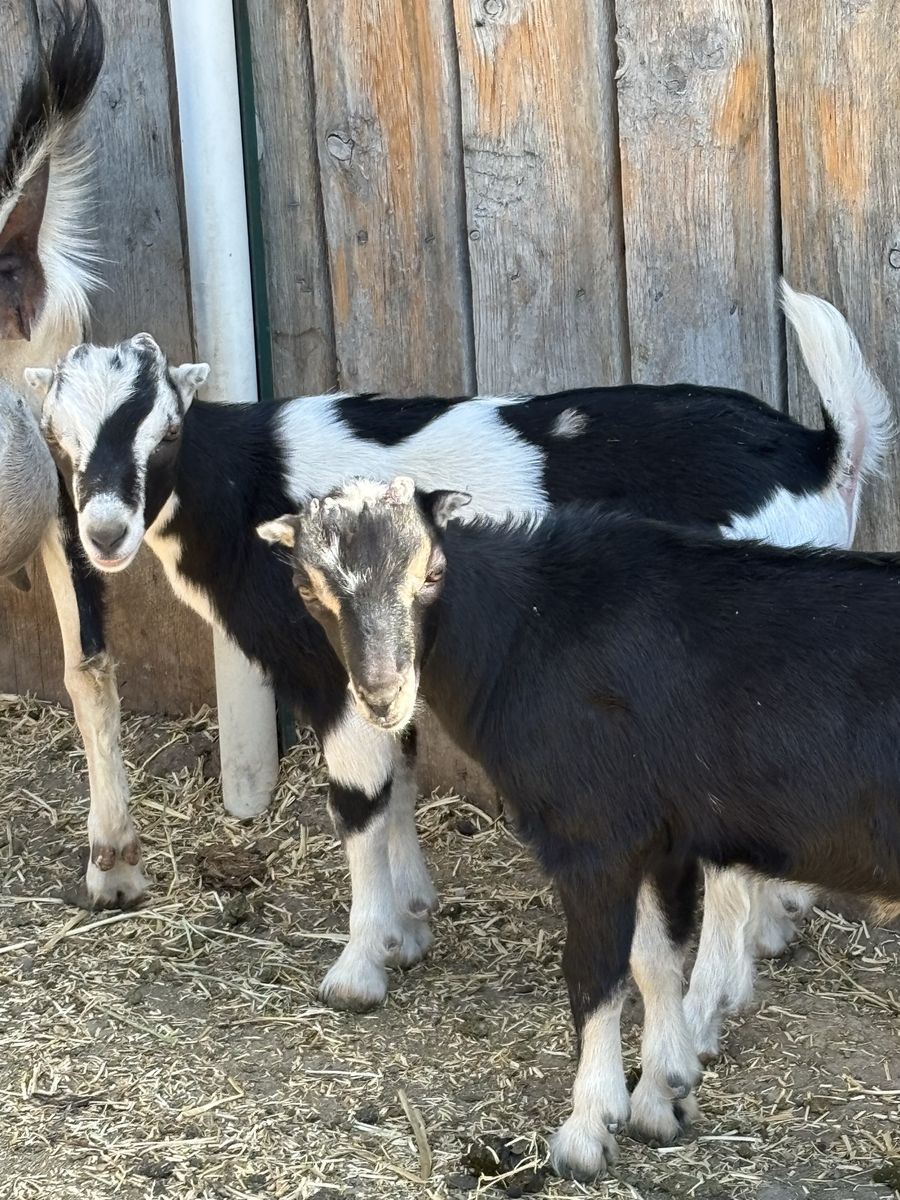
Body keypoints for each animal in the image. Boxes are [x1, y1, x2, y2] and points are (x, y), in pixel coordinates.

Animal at [24, 286, 890, 1059]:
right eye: (57, 439)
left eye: (167, 432)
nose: (105, 533)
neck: (251, 487)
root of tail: (823, 455)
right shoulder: (387, 674)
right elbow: (401, 778)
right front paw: (410, 923)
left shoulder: (337, 672)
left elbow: (359, 802)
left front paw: (359, 967)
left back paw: (707, 1008)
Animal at [268, 473, 900, 1179]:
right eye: (307, 589)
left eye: (432, 573)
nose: (382, 696)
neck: (527, 630)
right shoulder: (658, 836)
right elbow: (655, 959)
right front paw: (666, 1093)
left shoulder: (591, 834)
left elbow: (595, 975)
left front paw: (587, 1130)